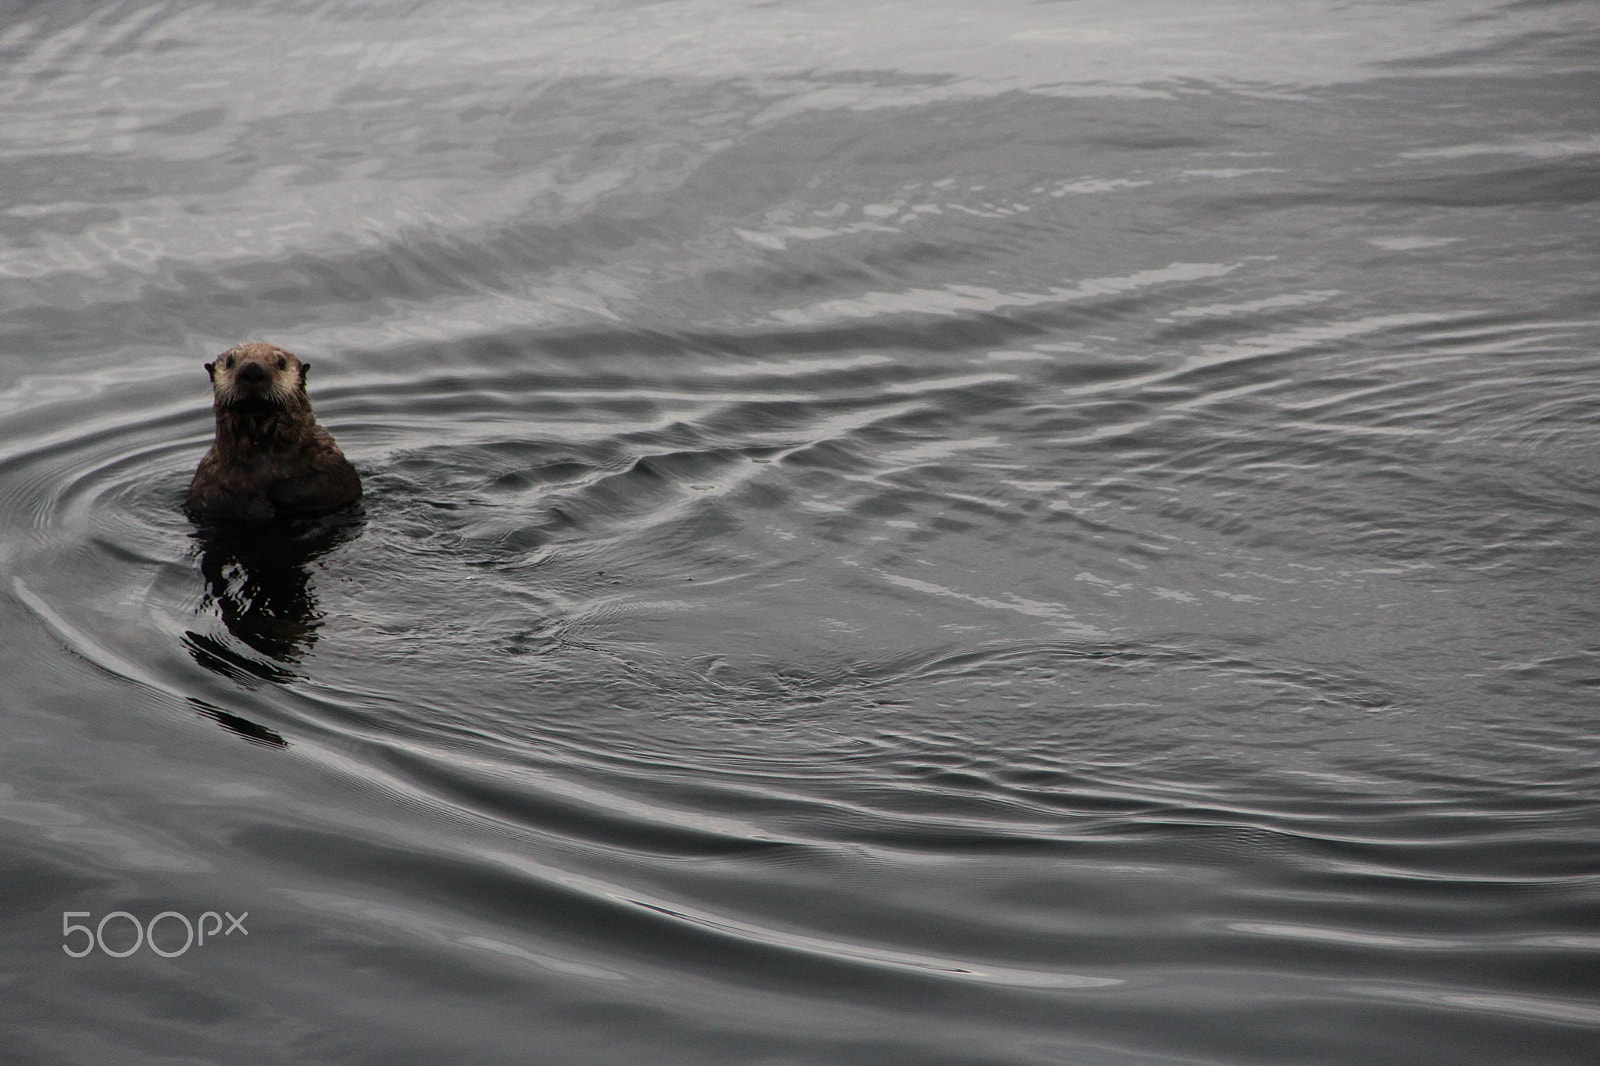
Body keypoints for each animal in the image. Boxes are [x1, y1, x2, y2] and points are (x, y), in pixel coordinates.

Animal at [186, 343, 361, 522]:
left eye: (281, 362)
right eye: (229, 361)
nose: (252, 370)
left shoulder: (327, 455)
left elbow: (336, 482)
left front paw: (279, 492)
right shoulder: (208, 472)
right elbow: (206, 497)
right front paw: (258, 505)